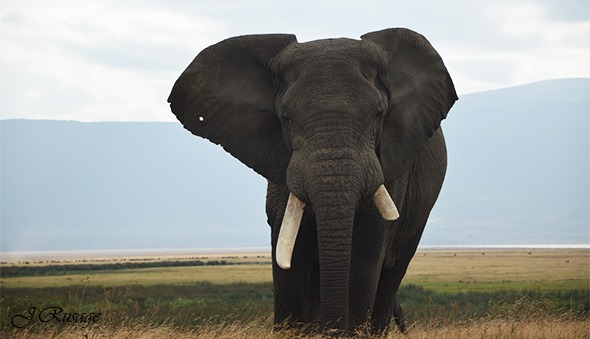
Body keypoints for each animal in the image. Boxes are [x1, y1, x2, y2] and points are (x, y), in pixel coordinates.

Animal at [169, 27, 460, 334]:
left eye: (378, 114)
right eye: (286, 118)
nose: (333, 331)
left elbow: (367, 250)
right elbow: (291, 249)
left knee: (391, 275)